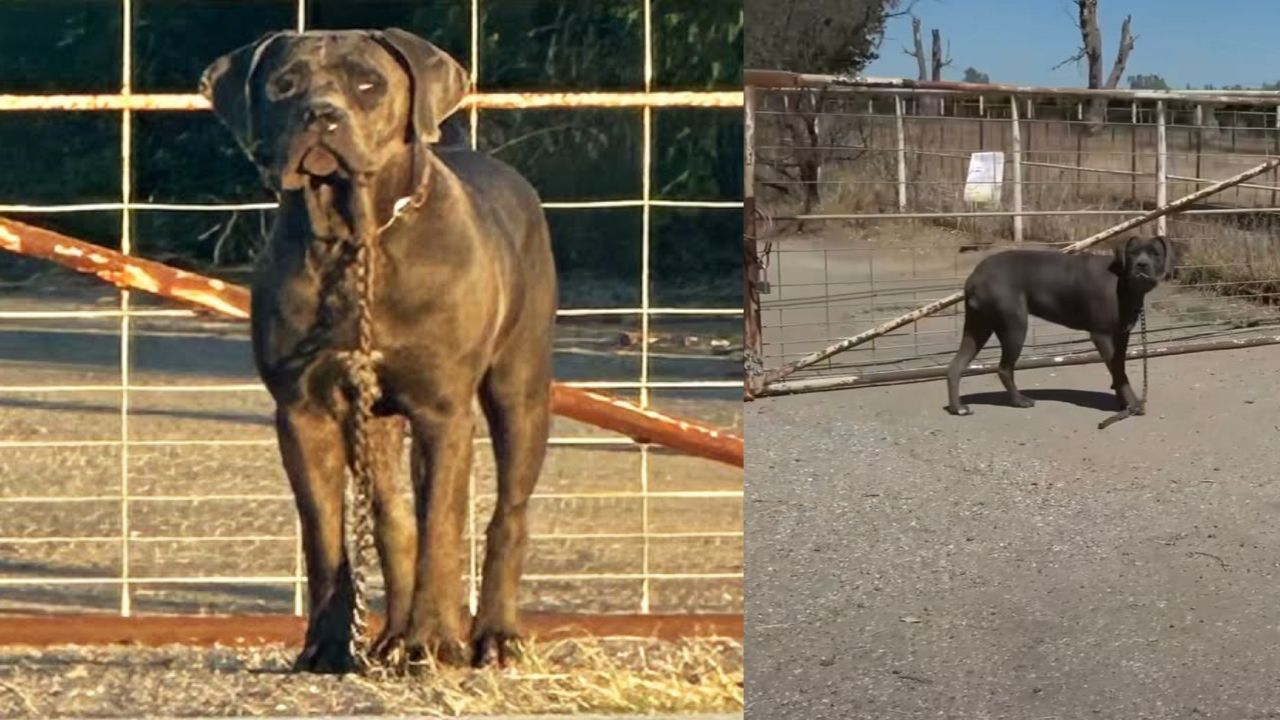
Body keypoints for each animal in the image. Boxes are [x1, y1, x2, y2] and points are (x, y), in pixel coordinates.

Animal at [942, 235, 1172, 415]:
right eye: (1132, 253)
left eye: (1155, 254)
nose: (1142, 265)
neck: (1123, 283)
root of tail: (976, 275)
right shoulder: (1102, 335)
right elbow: (1118, 371)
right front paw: (1133, 404)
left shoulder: (1121, 336)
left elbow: (1119, 369)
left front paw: (1123, 400)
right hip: (1014, 326)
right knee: (1004, 368)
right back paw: (1019, 401)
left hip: (978, 327)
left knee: (956, 366)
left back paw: (957, 407)